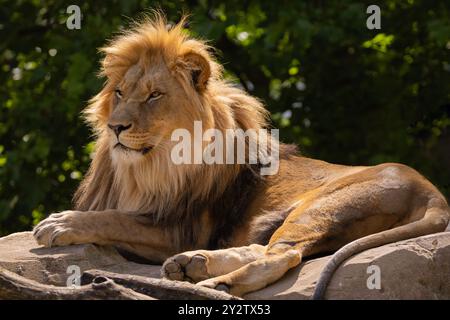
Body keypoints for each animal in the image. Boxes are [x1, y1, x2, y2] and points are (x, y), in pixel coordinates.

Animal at [32, 13, 450, 298]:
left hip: (323, 205)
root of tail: (434, 195)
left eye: (154, 96)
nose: (116, 126)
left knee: (281, 256)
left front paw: (60, 223)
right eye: (119, 92)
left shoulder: (180, 228)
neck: (148, 168)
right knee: (271, 247)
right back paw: (192, 265)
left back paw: (211, 283)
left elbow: (114, 218)